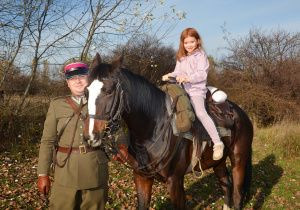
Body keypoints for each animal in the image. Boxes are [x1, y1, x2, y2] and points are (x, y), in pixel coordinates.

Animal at [82, 53, 253, 209]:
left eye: (109, 91)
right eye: (86, 92)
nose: (90, 136)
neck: (151, 131)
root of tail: (240, 113)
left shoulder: (175, 182)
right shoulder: (141, 178)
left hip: (238, 161)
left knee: (238, 194)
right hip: (219, 162)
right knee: (226, 184)